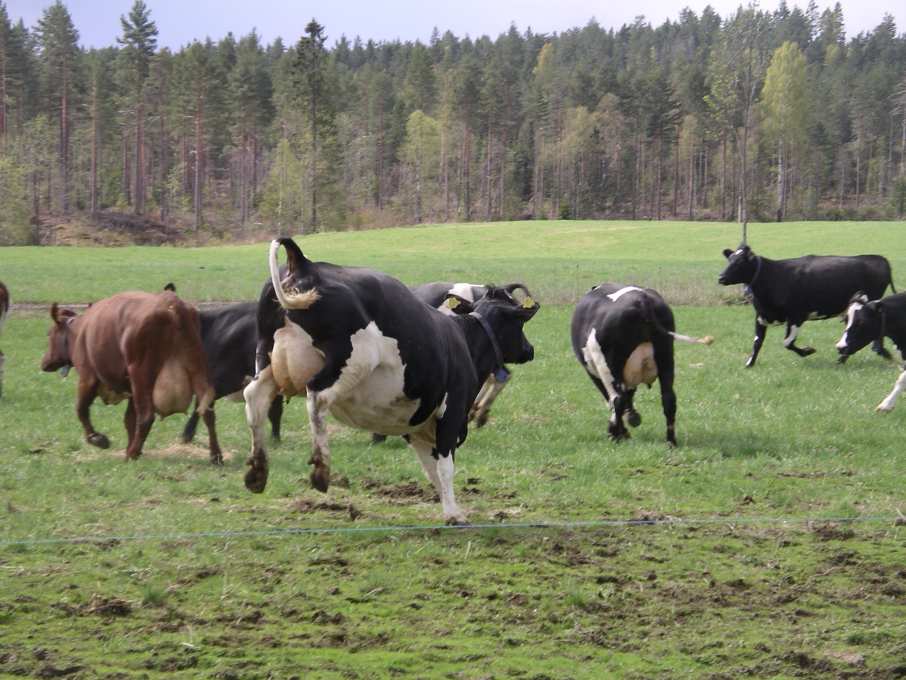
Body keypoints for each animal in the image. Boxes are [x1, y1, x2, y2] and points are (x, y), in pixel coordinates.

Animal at [240, 236, 536, 524]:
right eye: (519, 323)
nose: (529, 349)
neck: (462, 338)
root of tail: (305, 263)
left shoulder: (416, 426)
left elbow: (432, 470)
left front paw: (448, 507)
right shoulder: (451, 411)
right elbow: (445, 466)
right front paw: (454, 515)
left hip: (266, 358)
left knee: (254, 396)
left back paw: (257, 470)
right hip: (350, 361)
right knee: (317, 397)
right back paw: (321, 469)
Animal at [716, 242, 892, 364]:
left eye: (739, 262)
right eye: (729, 259)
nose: (721, 277)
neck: (773, 277)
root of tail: (878, 258)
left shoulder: (796, 316)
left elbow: (787, 342)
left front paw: (808, 351)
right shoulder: (761, 316)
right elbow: (757, 342)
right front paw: (750, 363)